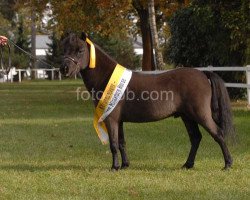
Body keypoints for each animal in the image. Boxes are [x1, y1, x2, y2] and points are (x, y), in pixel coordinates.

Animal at [60, 32, 234, 170]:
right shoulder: (119, 120)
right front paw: (125, 165)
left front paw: (115, 167)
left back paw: (227, 164)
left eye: (80, 50)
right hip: (187, 117)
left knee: (217, 134)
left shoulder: (111, 118)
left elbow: (114, 144)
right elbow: (122, 142)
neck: (107, 77)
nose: (64, 69)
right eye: (64, 50)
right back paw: (188, 164)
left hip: (200, 114)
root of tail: (203, 74)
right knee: (196, 138)